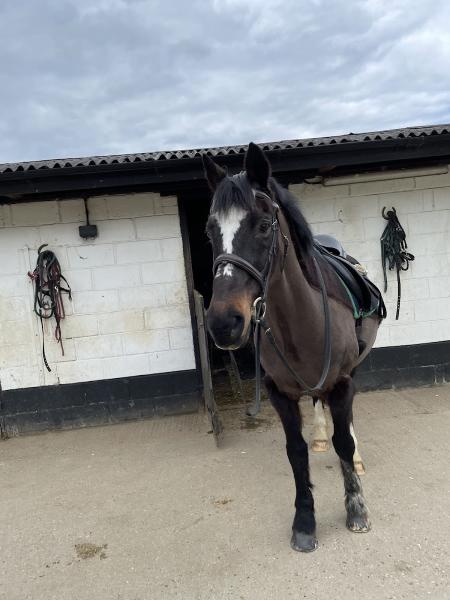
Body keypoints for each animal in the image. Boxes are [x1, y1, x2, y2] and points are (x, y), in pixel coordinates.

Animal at [203, 142, 384, 552]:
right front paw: (304, 522)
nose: (223, 322)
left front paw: (356, 509)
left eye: (263, 224)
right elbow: (296, 453)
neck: (304, 318)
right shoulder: (279, 392)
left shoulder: (343, 382)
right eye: (209, 230)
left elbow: (343, 441)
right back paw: (319, 437)